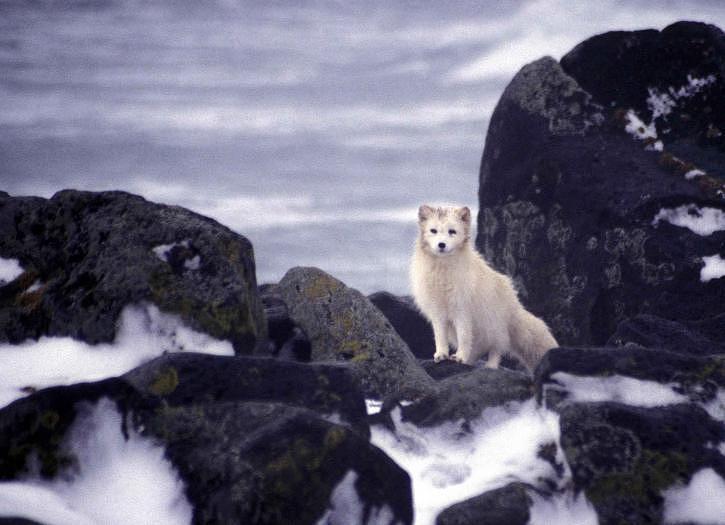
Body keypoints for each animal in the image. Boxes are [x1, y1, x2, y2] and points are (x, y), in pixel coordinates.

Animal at [410, 204, 557, 373]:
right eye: (433, 231)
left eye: (452, 231)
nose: (441, 245)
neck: (442, 273)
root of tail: (515, 305)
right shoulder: (438, 312)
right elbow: (440, 337)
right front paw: (442, 354)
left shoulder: (462, 311)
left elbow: (464, 337)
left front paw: (460, 357)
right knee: (477, 350)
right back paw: (469, 362)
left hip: (495, 329)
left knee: (497, 349)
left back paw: (490, 366)